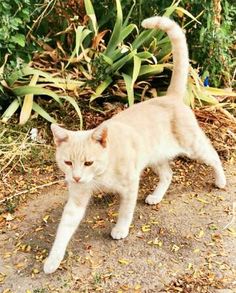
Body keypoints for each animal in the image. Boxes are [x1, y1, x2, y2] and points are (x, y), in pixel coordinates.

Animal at [43, 16, 226, 274]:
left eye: (88, 162)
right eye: (68, 162)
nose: (76, 177)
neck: (101, 173)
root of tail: (169, 97)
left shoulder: (130, 185)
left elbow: (125, 211)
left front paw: (120, 229)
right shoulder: (76, 199)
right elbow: (63, 231)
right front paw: (53, 259)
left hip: (194, 146)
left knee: (213, 156)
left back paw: (221, 180)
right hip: (155, 157)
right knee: (168, 175)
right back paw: (156, 196)